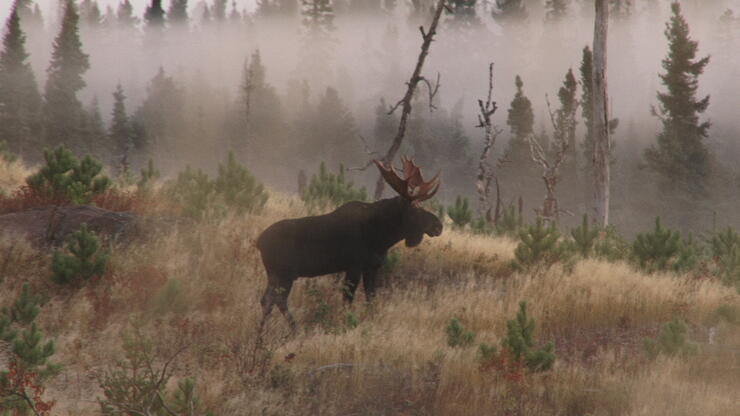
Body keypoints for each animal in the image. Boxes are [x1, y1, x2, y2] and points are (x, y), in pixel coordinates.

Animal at [256, 158, 443, 329]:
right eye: (415, 209)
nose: (438, 225)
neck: (383, 236)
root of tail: (259, 241)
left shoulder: (371, 267)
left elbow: (371, 298)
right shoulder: (354, 266)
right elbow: (348, 299)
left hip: (276, 274)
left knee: (267, 300)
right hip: (283, 273)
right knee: (277, 300)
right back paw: (294, 329)